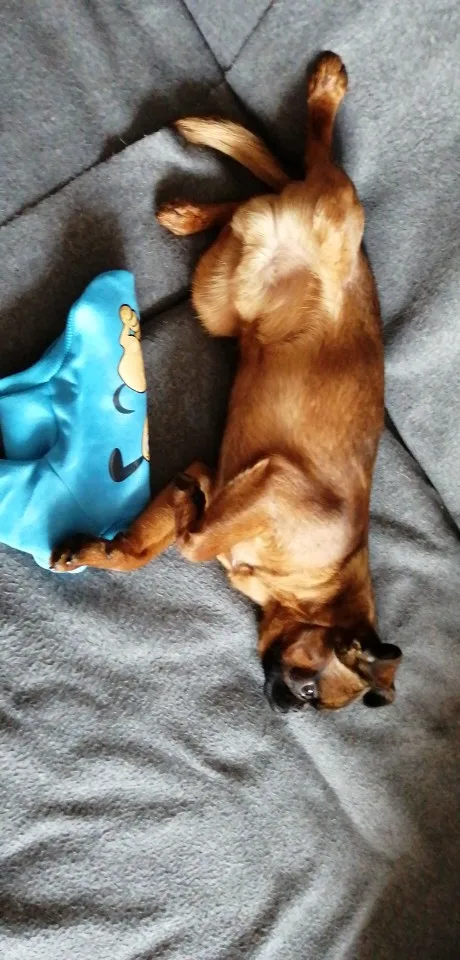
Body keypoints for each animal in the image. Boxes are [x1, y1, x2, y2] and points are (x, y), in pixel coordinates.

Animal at [51, 52, 402, 712]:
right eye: (309, 691)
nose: (281, 707)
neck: (311, 588)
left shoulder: (207, 472)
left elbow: (143, 549)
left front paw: (103, 550)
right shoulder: (275, 485)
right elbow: (192, 542)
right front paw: (189, 524)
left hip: (218, 294)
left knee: (259, 192)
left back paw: (190, 213)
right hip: (335, 209)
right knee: (313, 163)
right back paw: (324, 89)